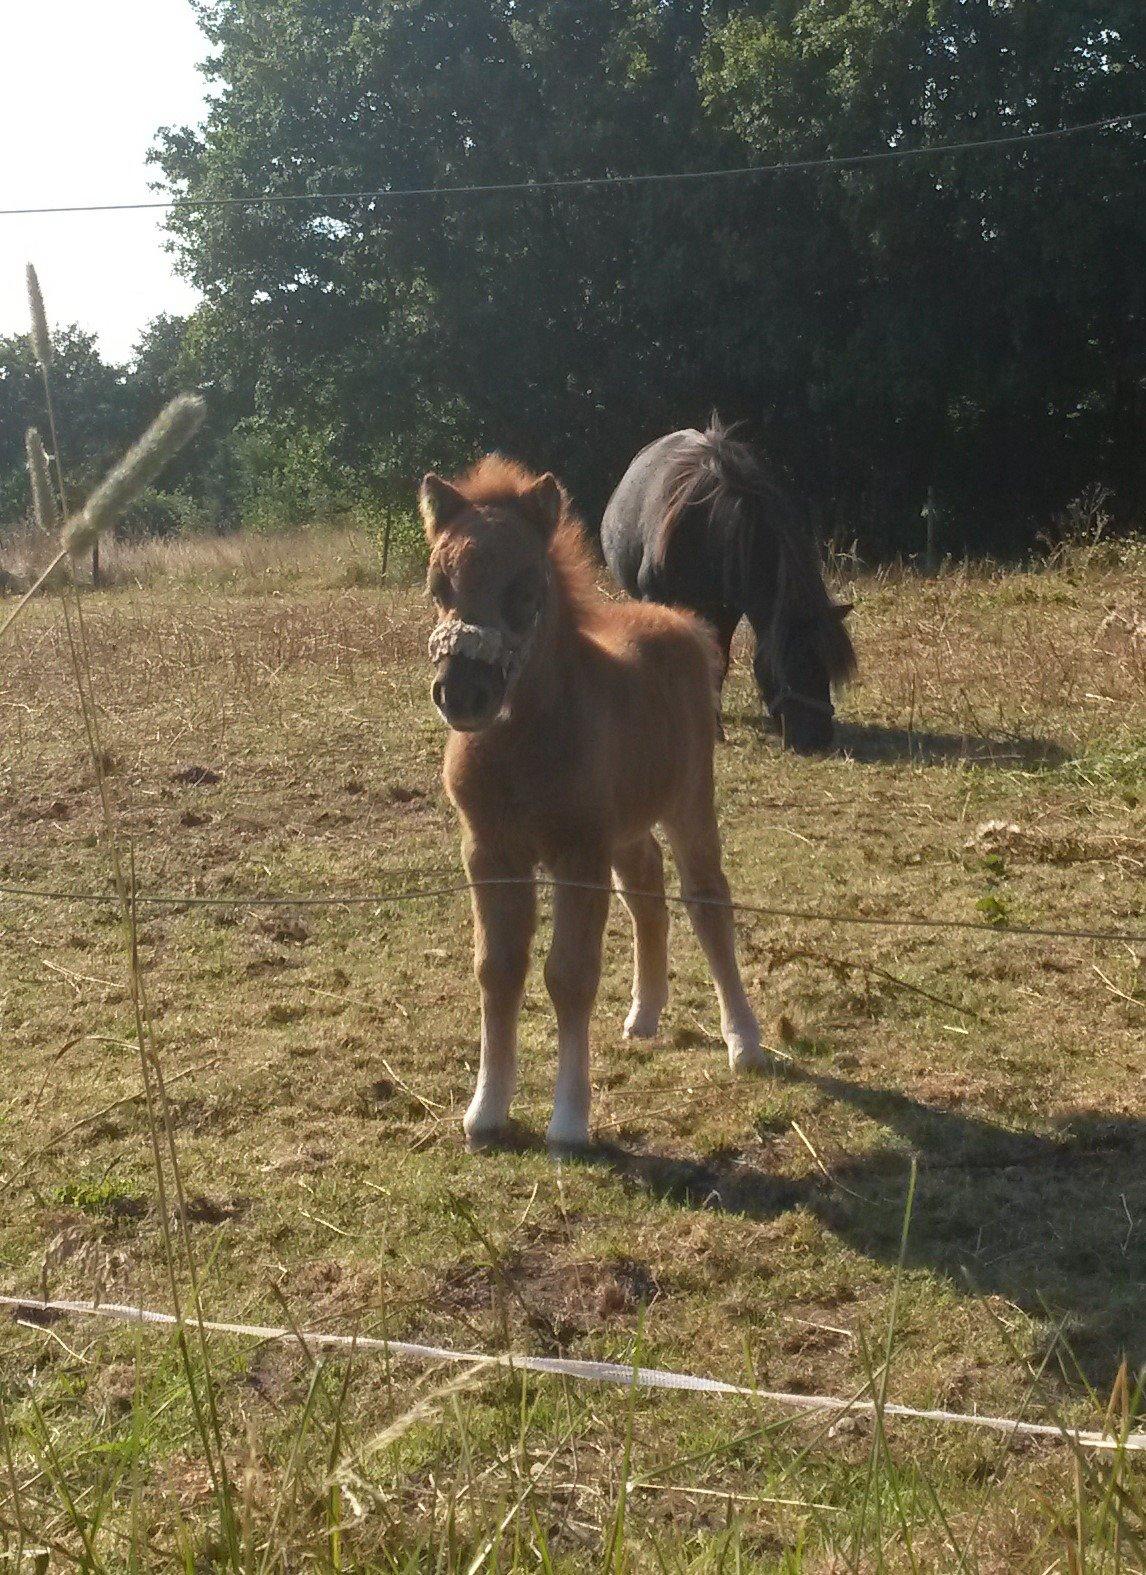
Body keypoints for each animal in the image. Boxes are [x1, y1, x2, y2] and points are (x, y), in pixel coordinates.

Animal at [418, 453, 761, 1146]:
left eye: (525, 589)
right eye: (439, 584)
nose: (461, 693)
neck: (523, 746)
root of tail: (680, 622)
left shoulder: (578, 855)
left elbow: (569, 976)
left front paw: (570, 1121)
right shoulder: (489, 853)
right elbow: (497, 968)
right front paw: (485, 1111)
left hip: (688, 799)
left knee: (706, 897)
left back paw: (744, 1041)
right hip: (623, 826)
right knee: (645, 887)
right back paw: (645, 1014)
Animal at [604, 422, 856, 752]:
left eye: (825, 668)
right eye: (794, 664)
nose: (818, 740)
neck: (706, 528)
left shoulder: (725, 613)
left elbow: (718, 662)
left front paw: (714, 726)